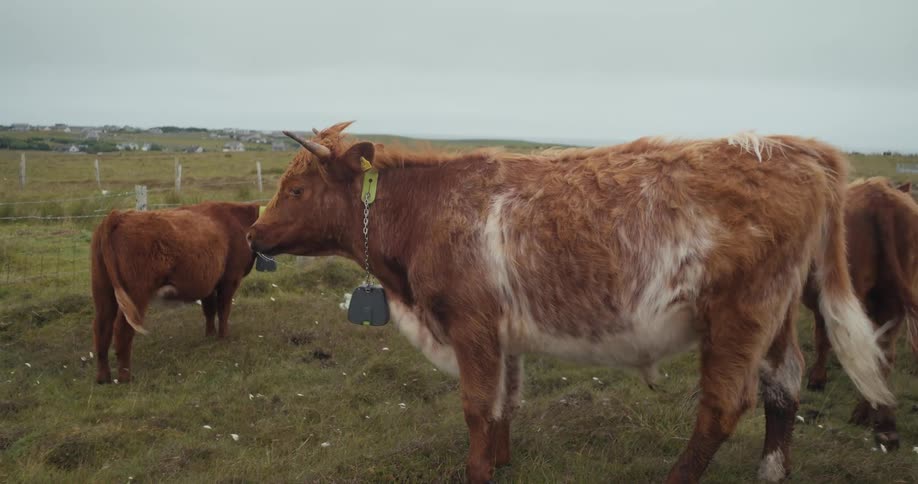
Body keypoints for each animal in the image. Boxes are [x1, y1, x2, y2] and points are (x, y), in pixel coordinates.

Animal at [91, 201, 261, 384]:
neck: (239, 219)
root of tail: (117, 216)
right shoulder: (230, 279)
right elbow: (223, 310)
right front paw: (223, 337)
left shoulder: (208, 283)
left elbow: (209, 310)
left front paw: (209, 335)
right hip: (136, 294)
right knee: (122, 329)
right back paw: (125, 376)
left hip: (103, 291)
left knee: (102, 327)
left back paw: (103, 377)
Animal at [246, 122, 893, 483]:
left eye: (296, 189)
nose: (253, 233)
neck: (427, 209)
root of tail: (799, 149)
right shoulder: (500, 332)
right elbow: (504, 402)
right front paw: (502, 462)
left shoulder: (471, 323)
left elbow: (477, 407)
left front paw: (477, 472)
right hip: (777, 314)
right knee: (784, 386)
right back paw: (771, 471)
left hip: (740, 315)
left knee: (723, 406)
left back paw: (677, 478)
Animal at [803, 177, 918, 450]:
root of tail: (881, 196)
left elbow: (822, 339)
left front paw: (816, 380)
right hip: (892, 303)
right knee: (883, 355)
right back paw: (881, 421)